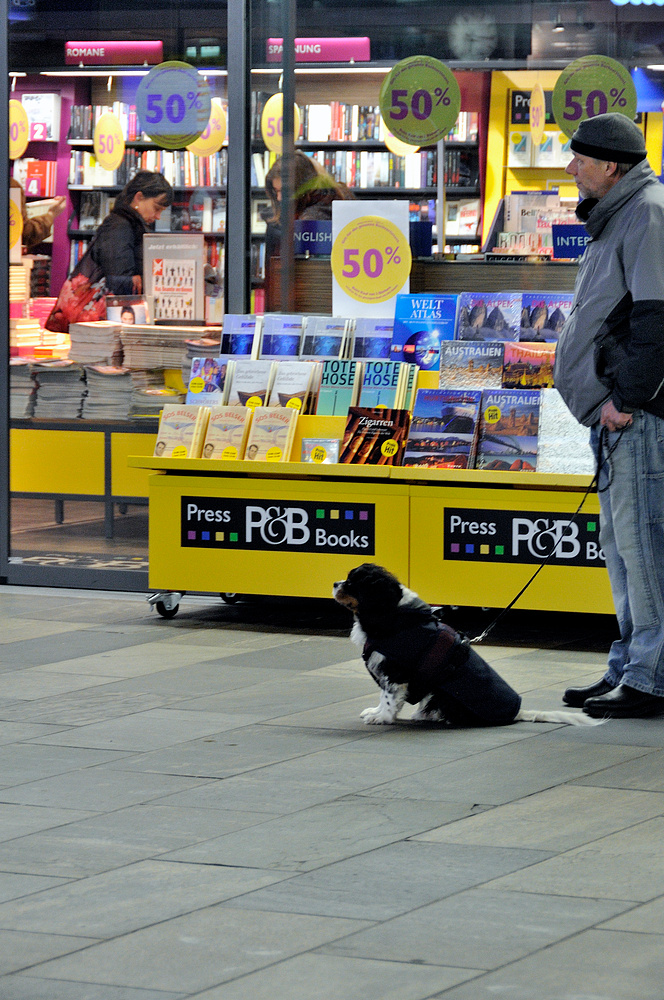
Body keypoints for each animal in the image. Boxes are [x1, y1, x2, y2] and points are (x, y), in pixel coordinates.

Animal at [334, 564, 600, 728]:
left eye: (352, 582)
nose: (335, 583)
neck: (393, 614)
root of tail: (516, 713)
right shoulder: (386, 668)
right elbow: (383, 696)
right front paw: (376, 712)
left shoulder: (394, 670)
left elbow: (389, 697)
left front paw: (382, 718)